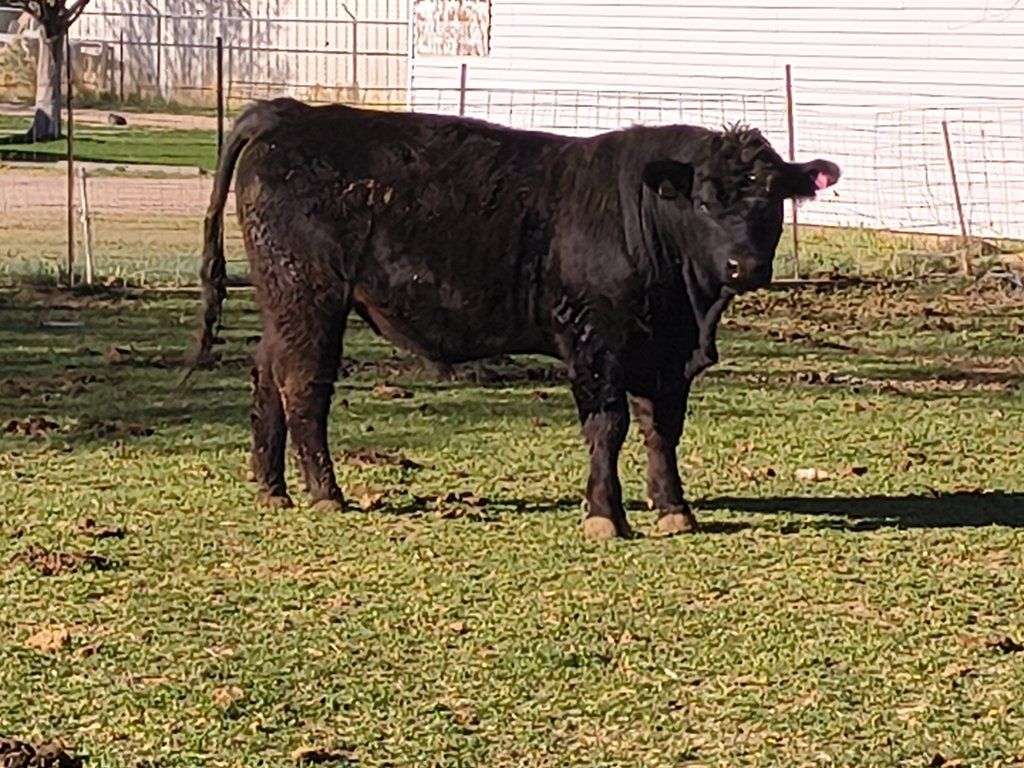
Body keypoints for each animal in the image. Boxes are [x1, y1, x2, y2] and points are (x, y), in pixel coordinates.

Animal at [188, 97, 839, 539]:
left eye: (773, 199)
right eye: (704, 201)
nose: (744, 265)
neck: (687, 306)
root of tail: (290, 112)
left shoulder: (666, 354)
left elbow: (662, 429)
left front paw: (674, 509)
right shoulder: (594, 340)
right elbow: (608, 426)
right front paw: (605, 514)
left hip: (284, 299)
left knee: (267, 370)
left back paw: (271, 487)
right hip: (311, 296)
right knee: (303, 384)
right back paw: (326, 493)